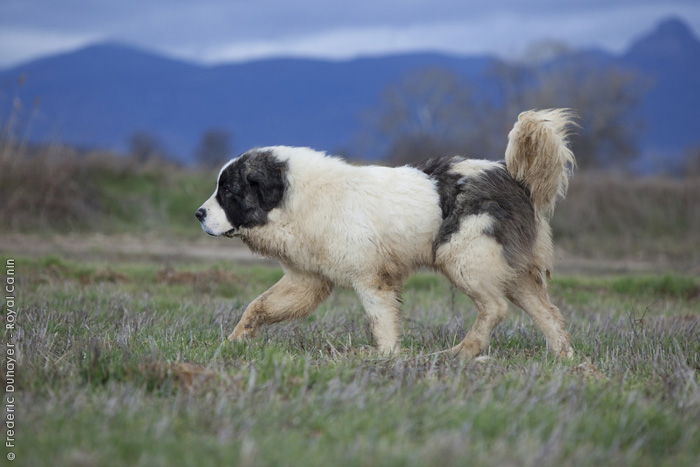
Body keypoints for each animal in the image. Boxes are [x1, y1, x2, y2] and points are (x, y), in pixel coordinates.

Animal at [196, 109, 576, 358]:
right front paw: (234, 341)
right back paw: (566, 360)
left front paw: (386, 357)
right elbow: (258, 305)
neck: (298, 198)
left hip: (463, 257)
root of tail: (515, 178)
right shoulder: (306, 280)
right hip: (516, 275)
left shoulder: (372, 279)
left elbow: (382, 322)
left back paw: (462, 351)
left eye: (227, 191)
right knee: (549, 315)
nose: (199, 214)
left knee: (495, 308)